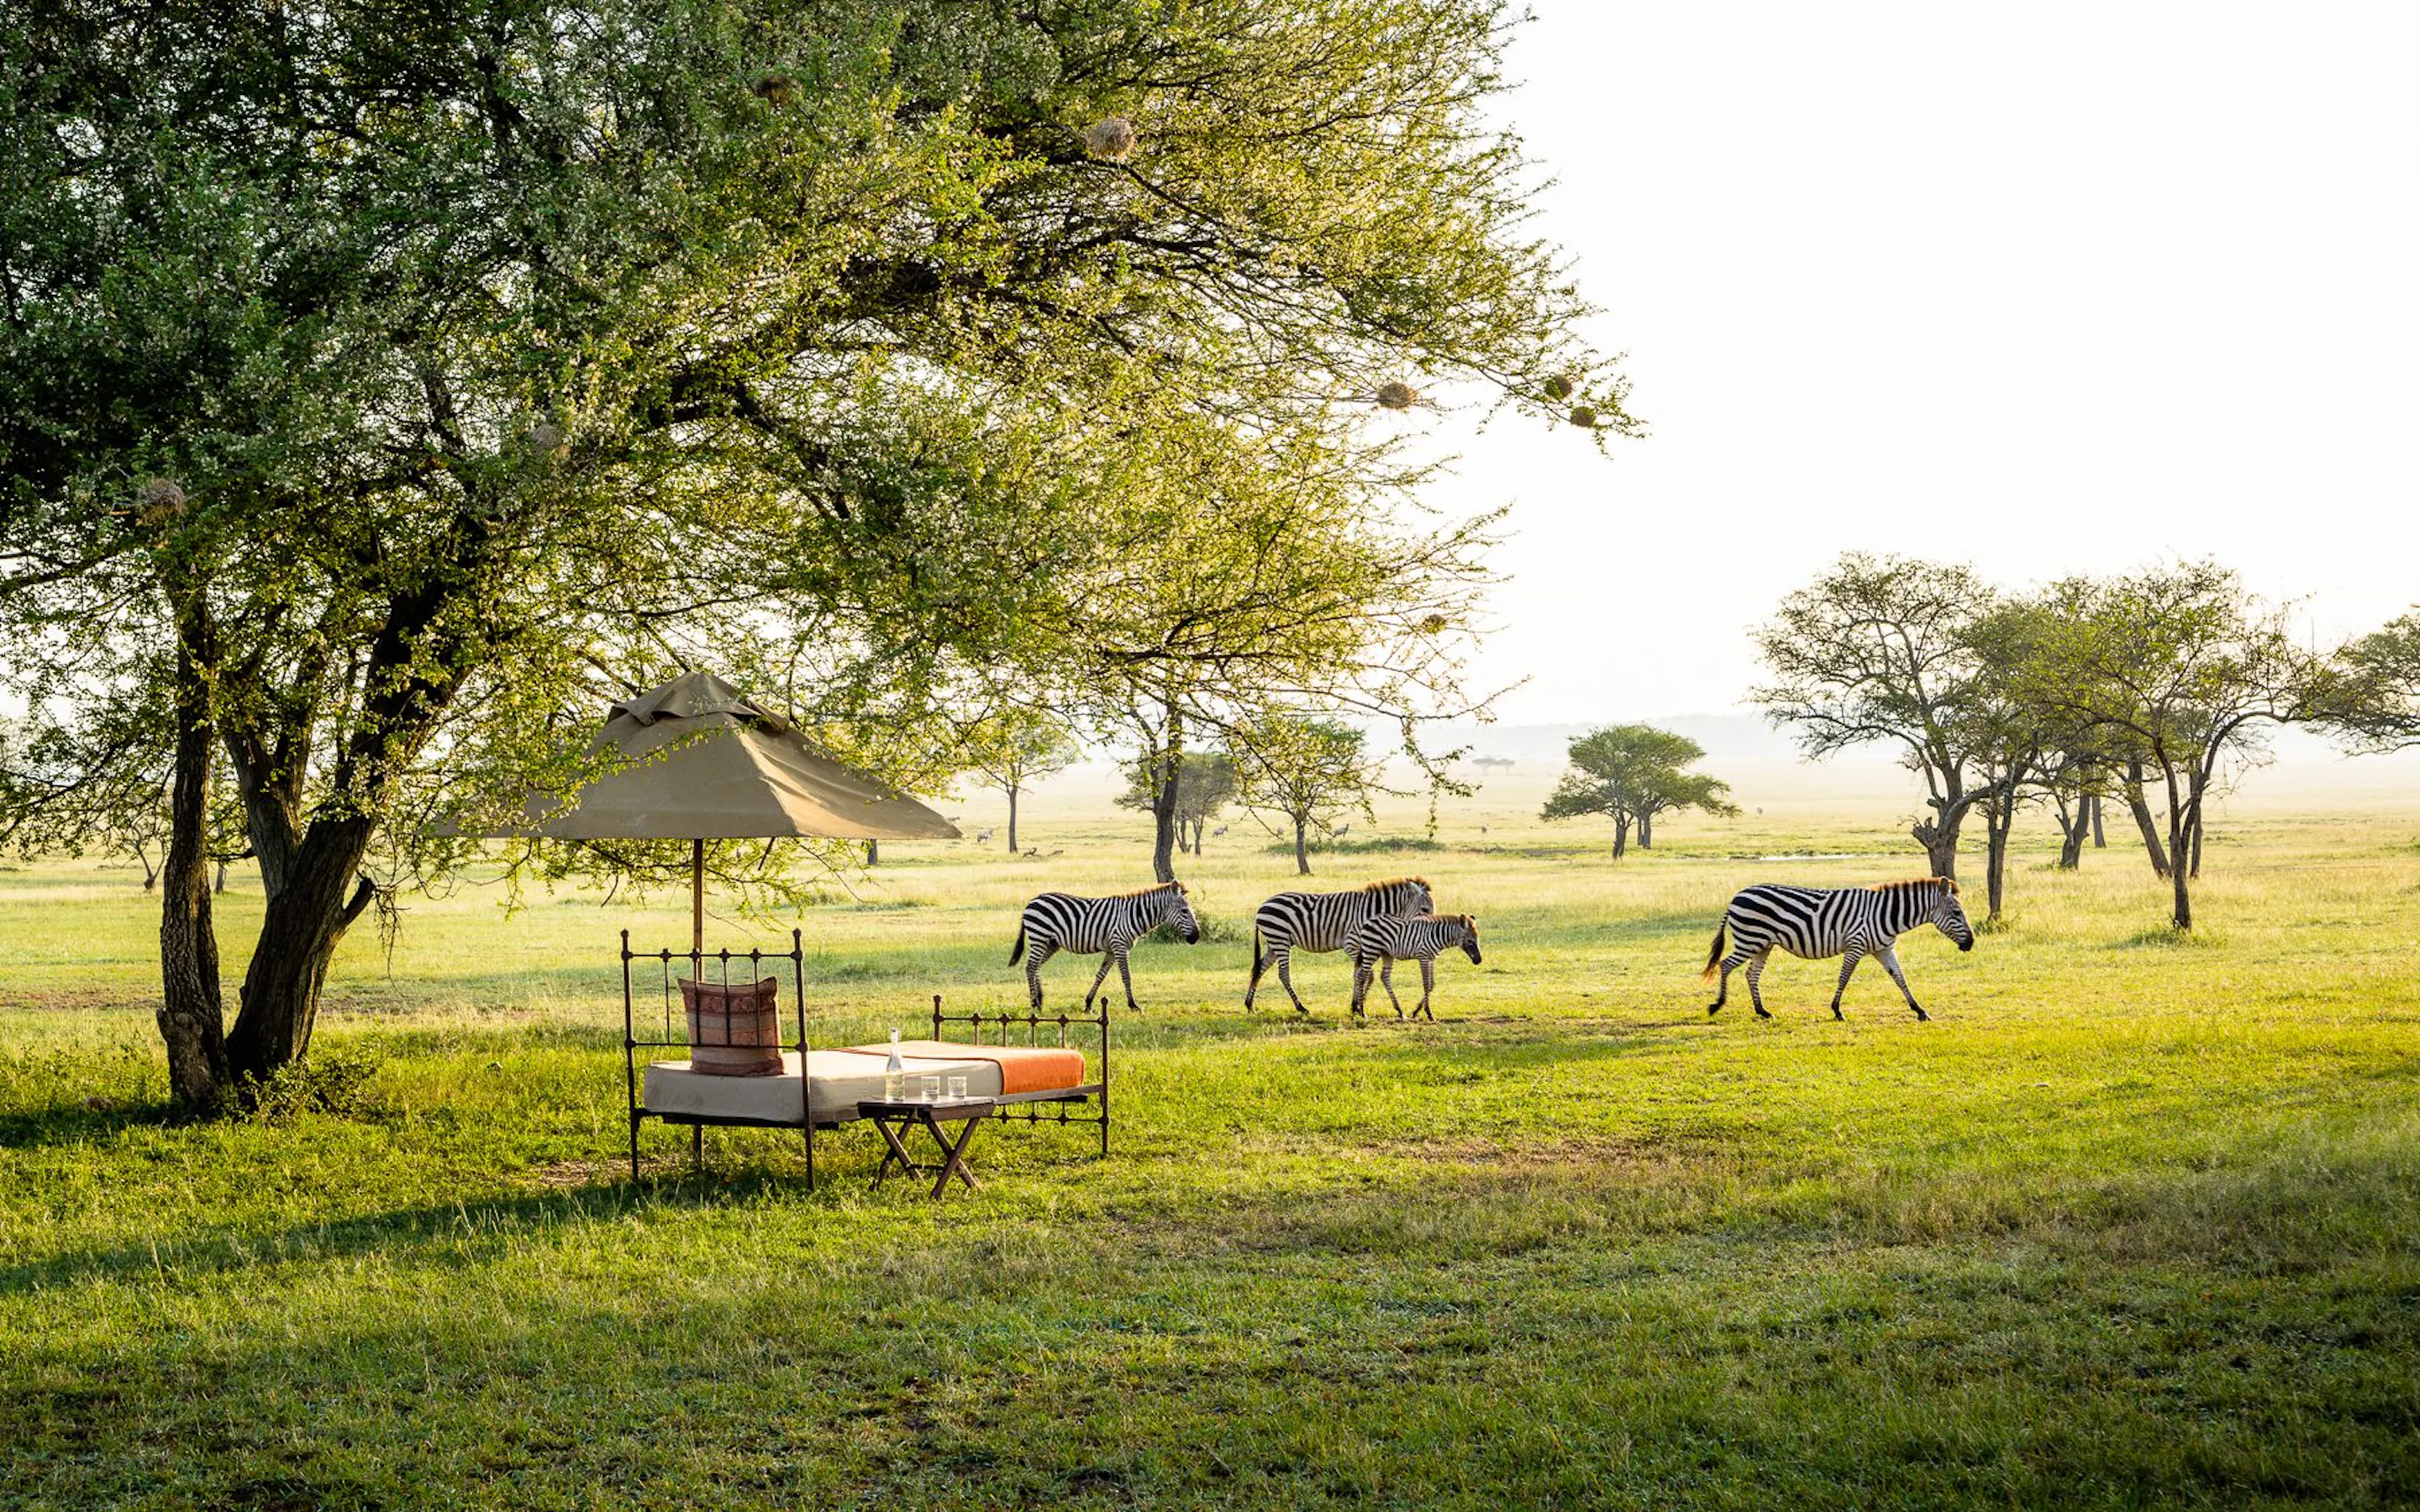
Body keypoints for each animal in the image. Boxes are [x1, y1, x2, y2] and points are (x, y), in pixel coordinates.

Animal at [1009, 881, 1202, 1012]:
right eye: (1184, 911)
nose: (1196, 937)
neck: (1133, 915)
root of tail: (1032, 901)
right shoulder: (1120, 946)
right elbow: (1126, 976)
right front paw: (1133, 1005)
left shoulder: (1111, 949)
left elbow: (1100, 976)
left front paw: (1088, 1003)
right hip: (1039, 937)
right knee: (1031, 967)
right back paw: (1034, 1003)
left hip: (1051, 943)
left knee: (1036, 966)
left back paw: (1040, 1000)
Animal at [1244, 877, 1435, 1013]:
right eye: (1425, 910)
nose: (1431, 930)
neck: (1371, 913)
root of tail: (1263, 905)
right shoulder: (1352, 944)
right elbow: (1366, 974)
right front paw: (1359, 1006)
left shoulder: (1363, 946)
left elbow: (1358, 974)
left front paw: (1355, 1005)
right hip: (1280, 939)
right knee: (1283, 974)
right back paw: (1301, 1008)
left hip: (1275, 942)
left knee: (1260, 967)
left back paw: (1249, 1004)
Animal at [1345, 914, 1483, 1021]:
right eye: (1470, 941)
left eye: (1478, 939)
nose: (1479, 960)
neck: (1437, 936)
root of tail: (1369, 920)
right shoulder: (1423, 957)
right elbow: (1426, 984)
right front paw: (1429, 1014)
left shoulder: (1431, 959)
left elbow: (1431, 984)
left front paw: (1416, 1012)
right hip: (1371, 950)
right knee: (1362, 976)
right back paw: (1362, 1012)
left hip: (1386, 954)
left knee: (1384, 977)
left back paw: (1399, 1012)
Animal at [1702, 877, 1974, 1022]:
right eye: (1956, 913)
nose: (1970, 944)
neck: (1887, 915)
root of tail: (1737, 895)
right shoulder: (1855, 945)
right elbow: (1844, 978)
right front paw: (1837, 1011)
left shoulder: (1884, 949)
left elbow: (1900, 979)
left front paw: (1920, 1011)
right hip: (1751, 939)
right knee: (1725, 965)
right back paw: (1717, 1005)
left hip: (1763, 944)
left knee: (1751, 974)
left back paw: (1762, 1011)